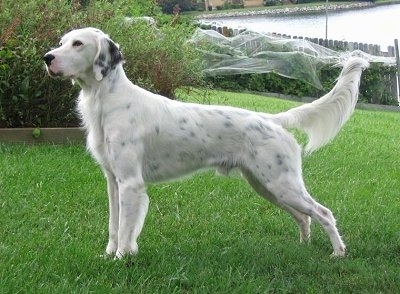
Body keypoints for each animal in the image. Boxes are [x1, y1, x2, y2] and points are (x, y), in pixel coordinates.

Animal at [43, 27, 368, 258]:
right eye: (62, 41)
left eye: (78, 44)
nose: (47, 58)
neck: (106, 102)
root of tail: (273, 119)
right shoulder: (113, 180)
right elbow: (114, 225)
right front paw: (109, 255)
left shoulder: (131, 183)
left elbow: (125, 228)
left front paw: (123, 257)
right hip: (268, 186)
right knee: (304, 218)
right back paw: (303, 246)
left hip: (281, 184)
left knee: (323, 213)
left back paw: (338, 252)